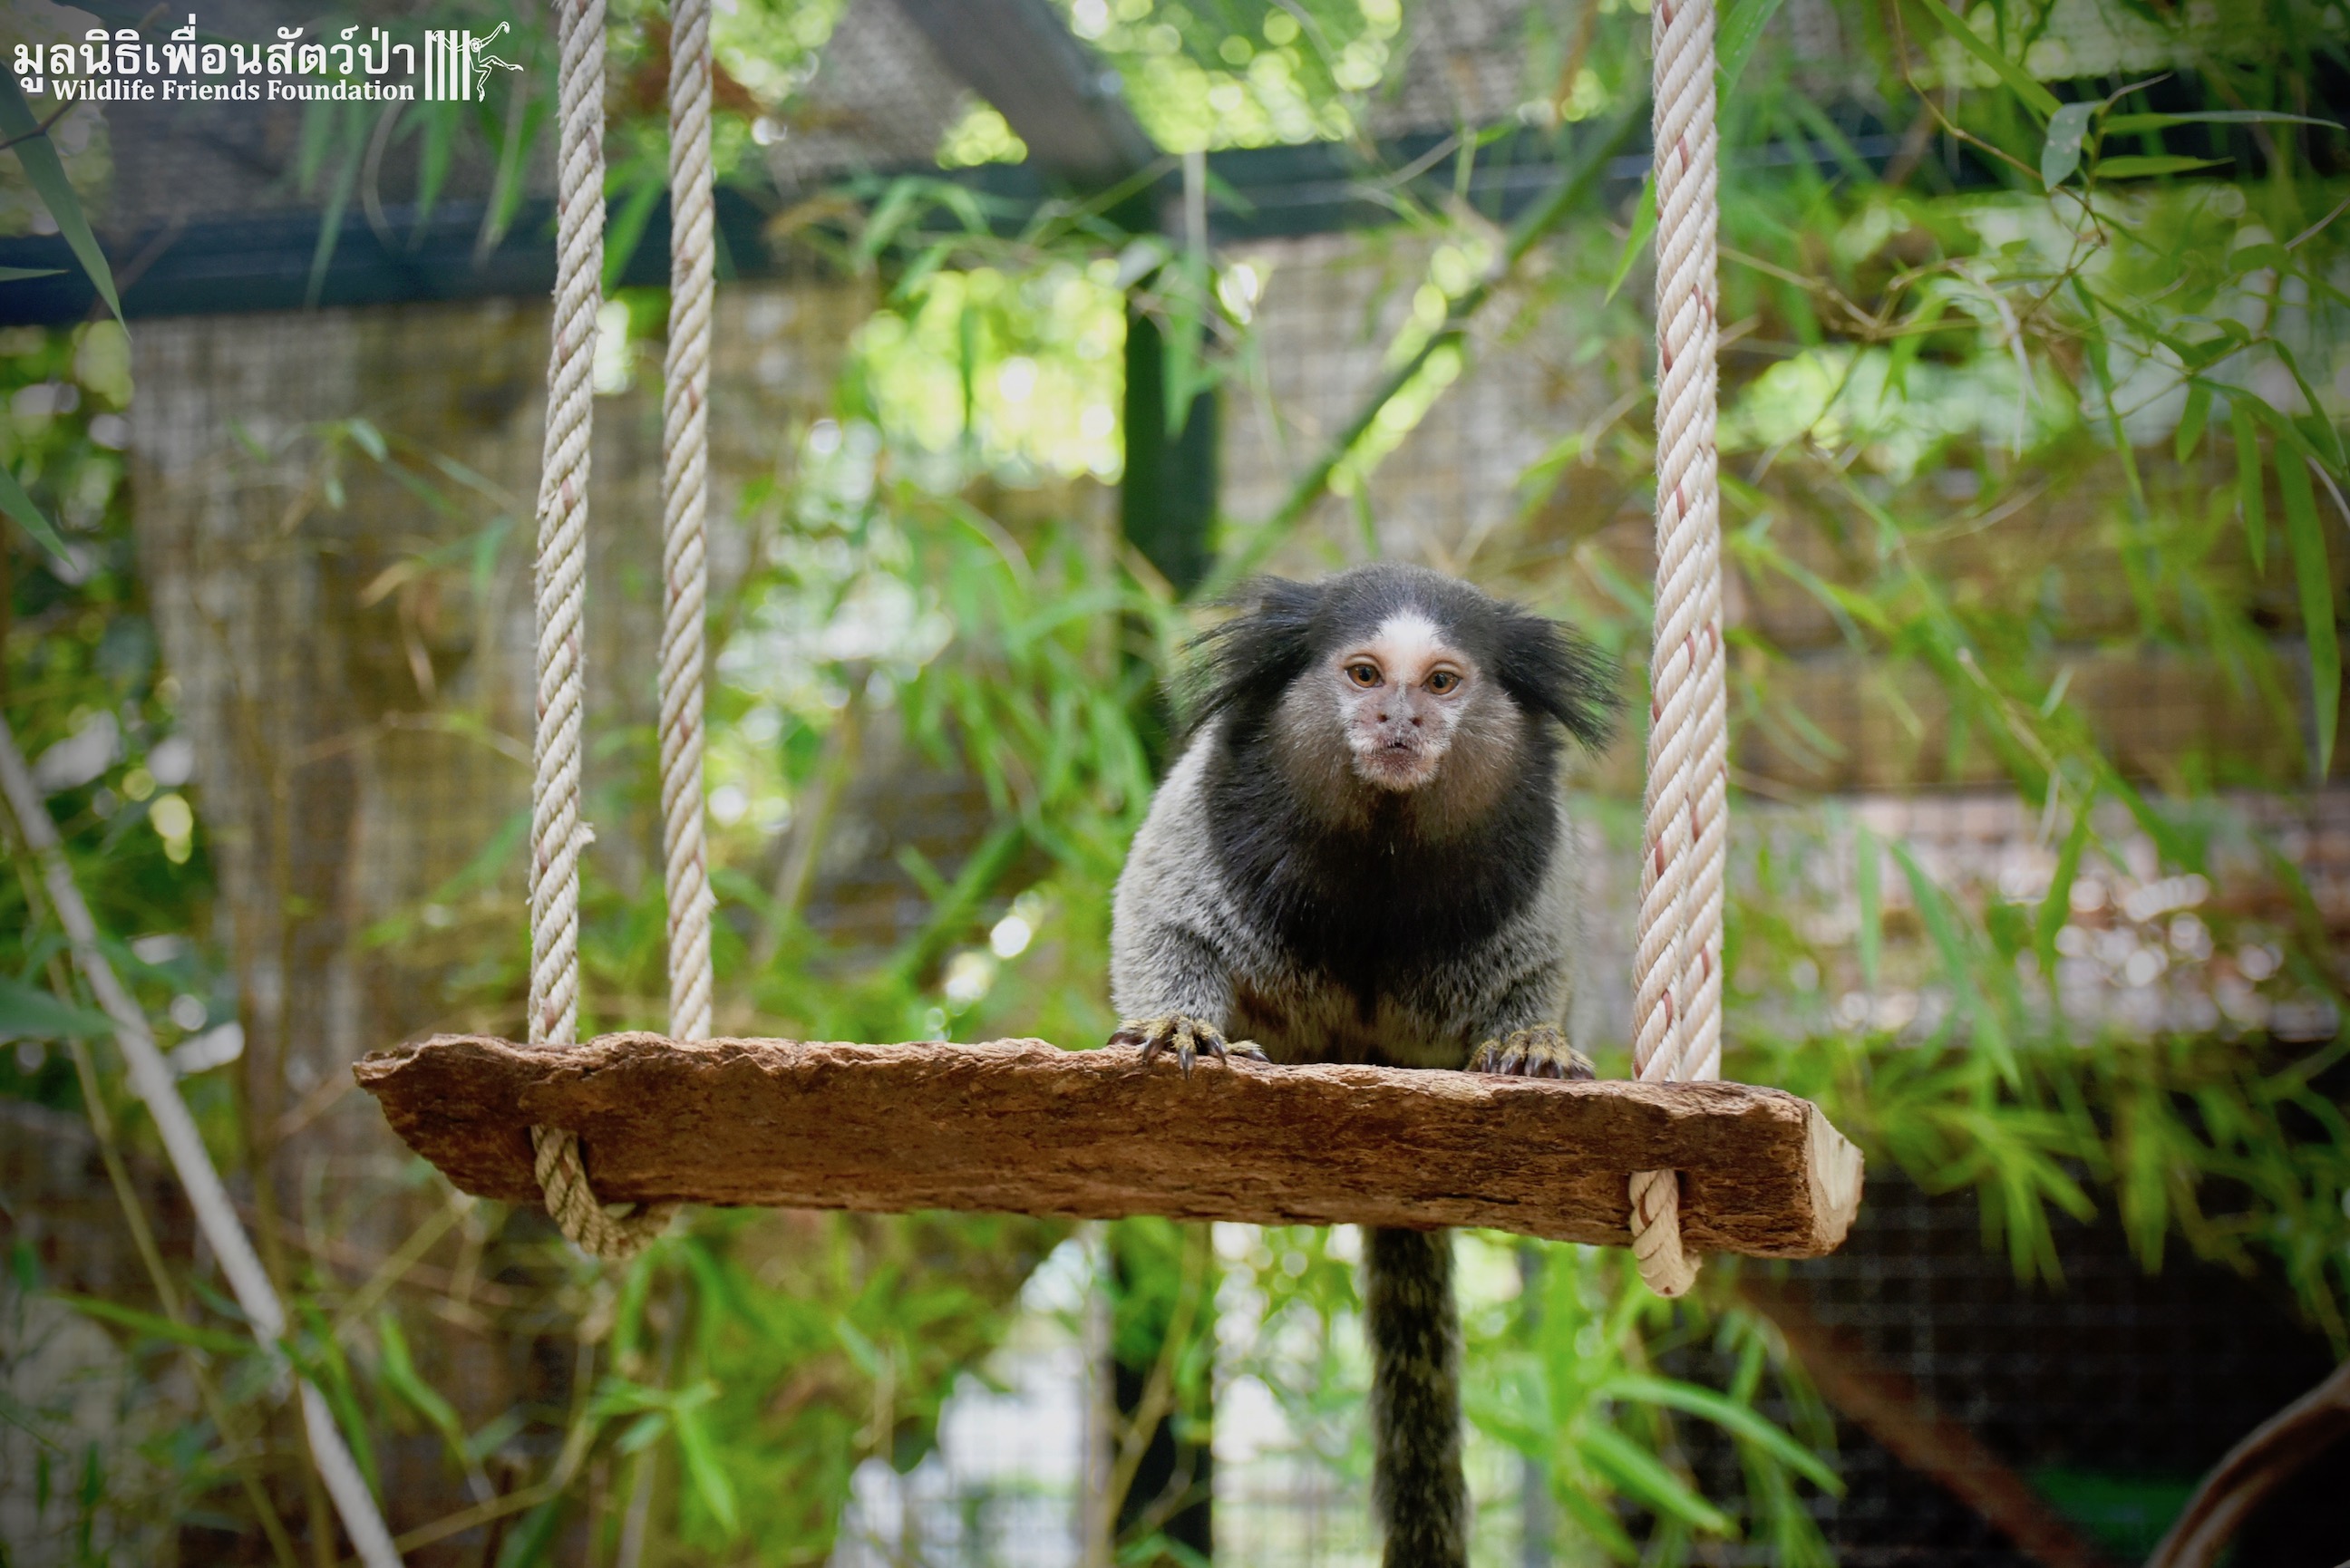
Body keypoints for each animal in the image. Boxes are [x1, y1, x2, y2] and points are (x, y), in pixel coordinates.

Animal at [1107, 561, 1616, 1568]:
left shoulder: (1532, 857)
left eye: (1443, 682)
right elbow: (1166, 923)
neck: (1385, 837)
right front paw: (1181, 1024)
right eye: (1366, 674)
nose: (1400, 721)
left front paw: (1532, 1042)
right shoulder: (1211, 810)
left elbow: (1536, 973)